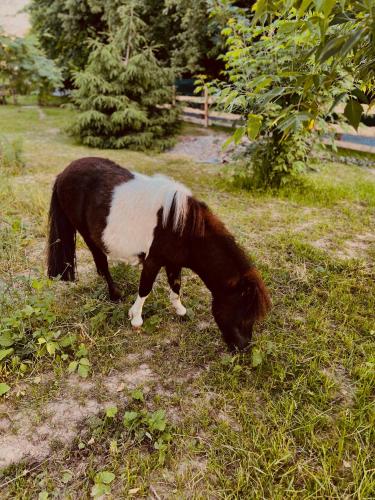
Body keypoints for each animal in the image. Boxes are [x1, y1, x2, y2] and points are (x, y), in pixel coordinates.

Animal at [47, 158, 270, 350]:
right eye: (243, 312)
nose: (242, 347)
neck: (184, 230)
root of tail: (63, 173)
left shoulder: (174, 262)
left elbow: (176, 285)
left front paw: (180, 310)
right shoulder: (153, 261)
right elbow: (145, 288)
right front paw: (136, 318)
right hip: (87, 235)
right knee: (101, 263)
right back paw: (115, 295)